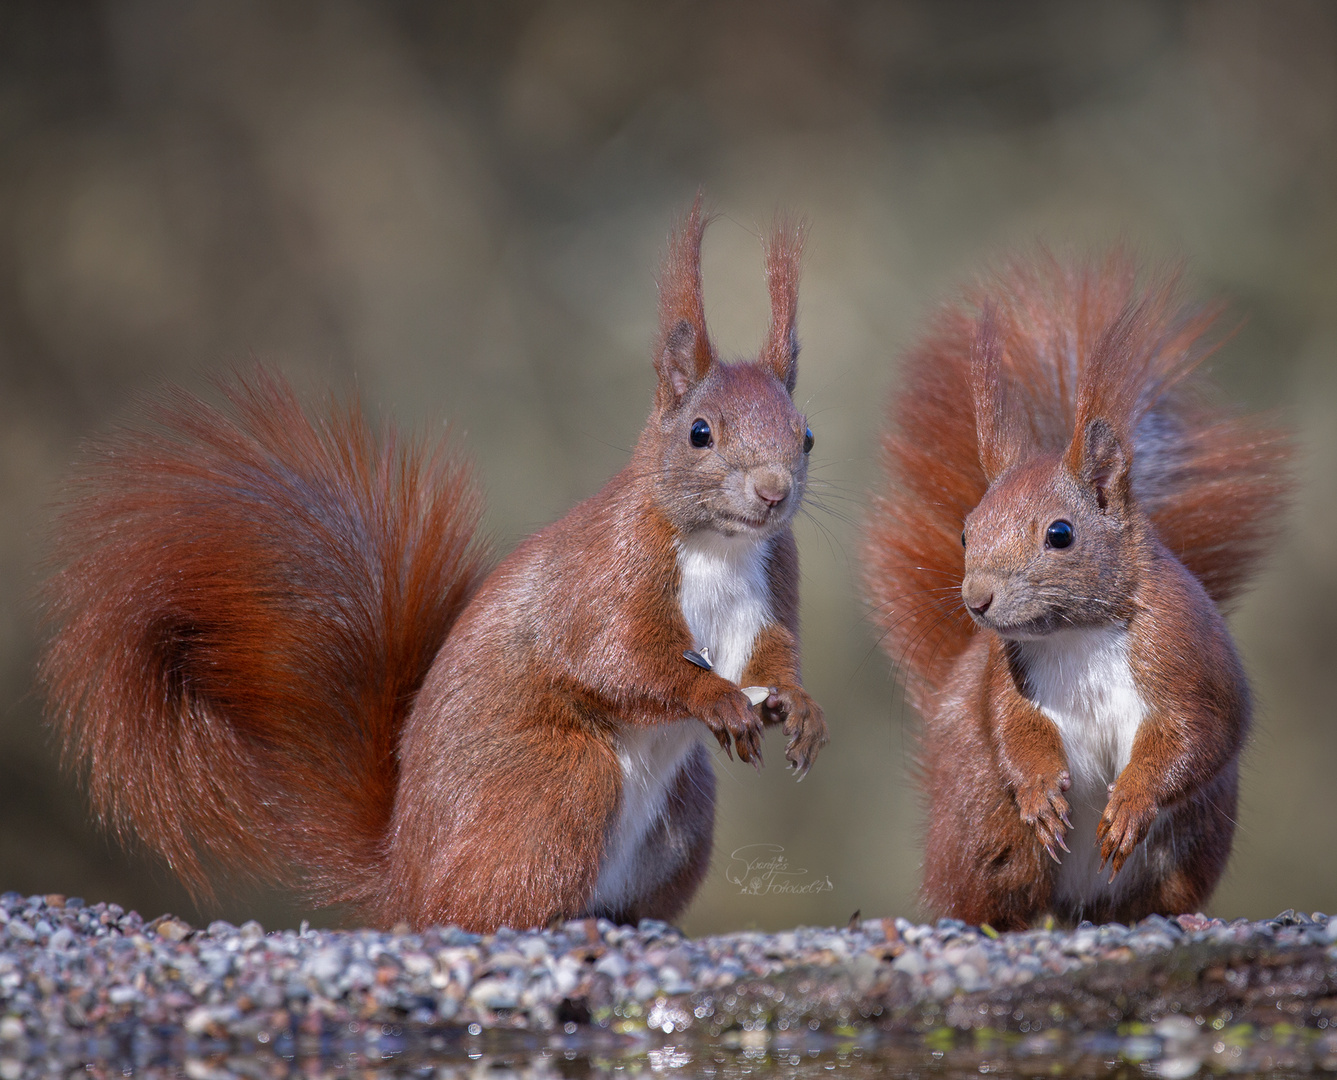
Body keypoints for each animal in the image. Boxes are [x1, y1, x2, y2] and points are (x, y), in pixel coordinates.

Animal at [39, 196, 823, 935]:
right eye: (700, 433)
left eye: (806, 435)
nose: (772, 492)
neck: (718, 547)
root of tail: (402, 881)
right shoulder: (609, 573)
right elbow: (615, 658)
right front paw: (712, 698)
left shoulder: (770, 588)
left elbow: (769, 656)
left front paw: (799, 708)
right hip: (560, 789)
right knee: (485, 906)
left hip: (682, 818)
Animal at [866, 251, 1294, 930]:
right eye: (965, 532)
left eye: (1060, 534)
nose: (976, 600)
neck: (1077, 635)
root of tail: (1077, 910)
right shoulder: (1007, 675)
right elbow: (1010, 726)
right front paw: (1040, 788)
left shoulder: (1186, 653)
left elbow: (1198, 734)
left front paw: (1133, 800)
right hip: (994, 833)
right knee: (995, 895)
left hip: (1186, 848)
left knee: (1146, 901)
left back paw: (1178, 919)